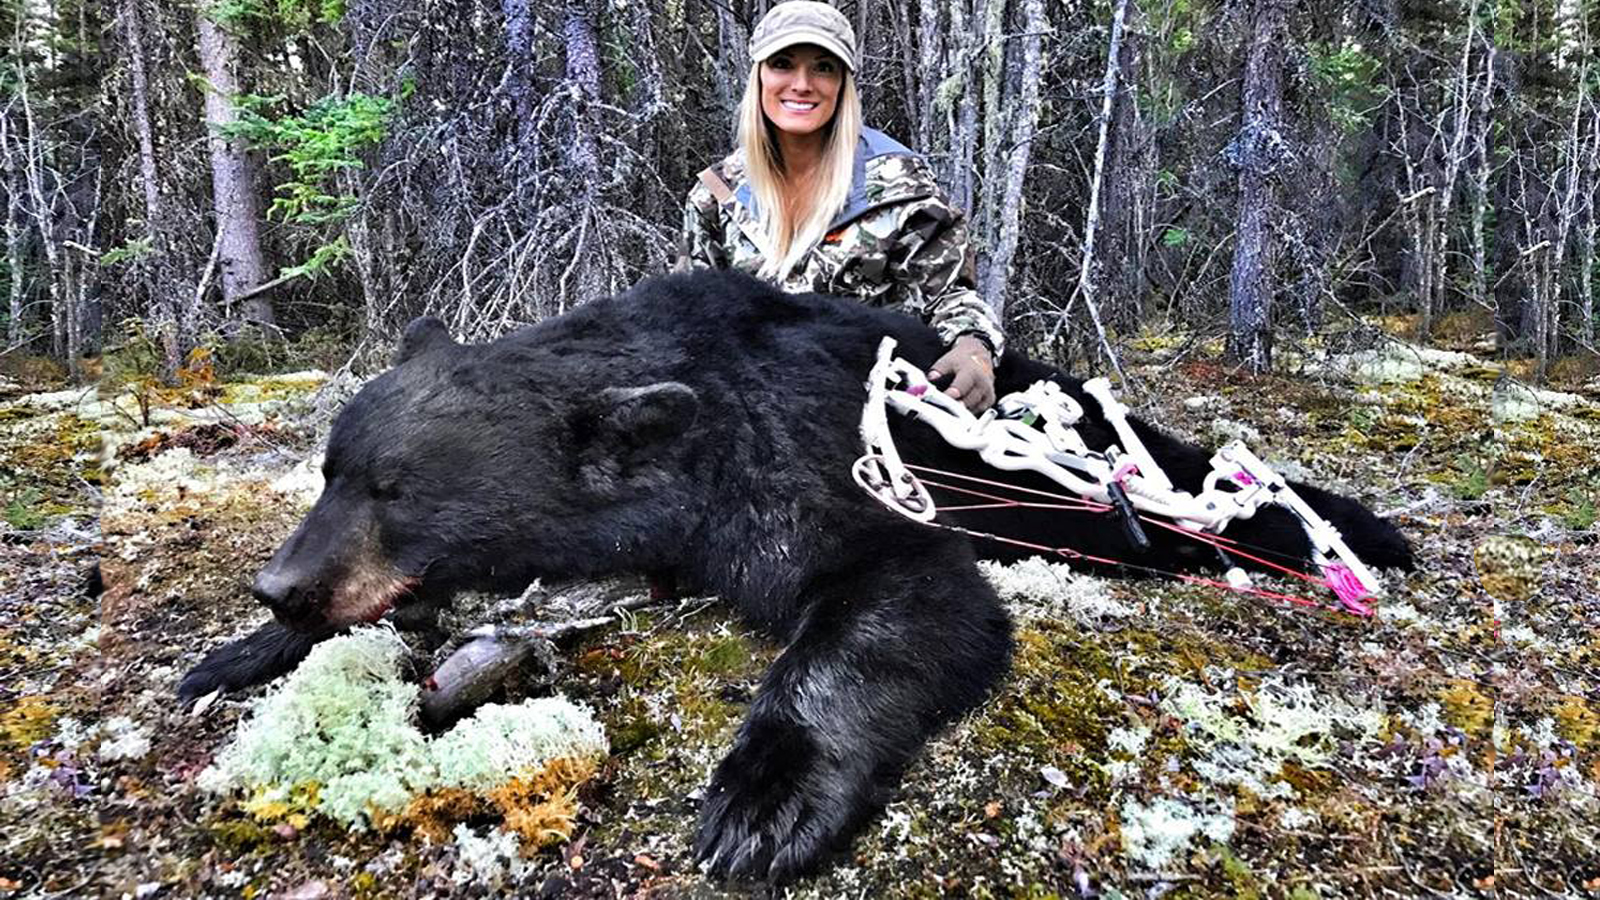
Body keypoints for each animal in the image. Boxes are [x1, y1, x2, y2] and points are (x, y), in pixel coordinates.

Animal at [179, 269, 1412, 882]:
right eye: (331, 472)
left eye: (397, 490)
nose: (277, 586)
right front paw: (240, 652)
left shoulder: (805, 469)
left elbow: (895, 597)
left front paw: (762, 800)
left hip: (1061, 450)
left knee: (1182, 474)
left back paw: (1352, 534)